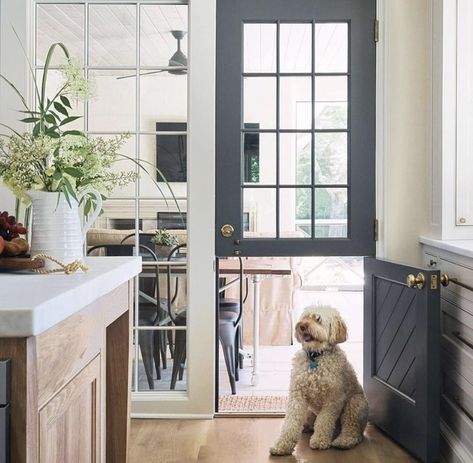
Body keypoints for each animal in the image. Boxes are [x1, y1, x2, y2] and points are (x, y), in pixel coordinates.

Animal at [268, 306, 366, 454]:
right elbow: (291, 422)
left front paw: (320, 440)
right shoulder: (297, 396)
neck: (315, 357)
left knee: (352, 430)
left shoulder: (333, 400)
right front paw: (282, 445)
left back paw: (343, 441)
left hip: (355, 403)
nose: (302, 326)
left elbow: (324, 421)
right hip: (309, 411)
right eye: (305, 317)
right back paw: (306, 427)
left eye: (318, 319)